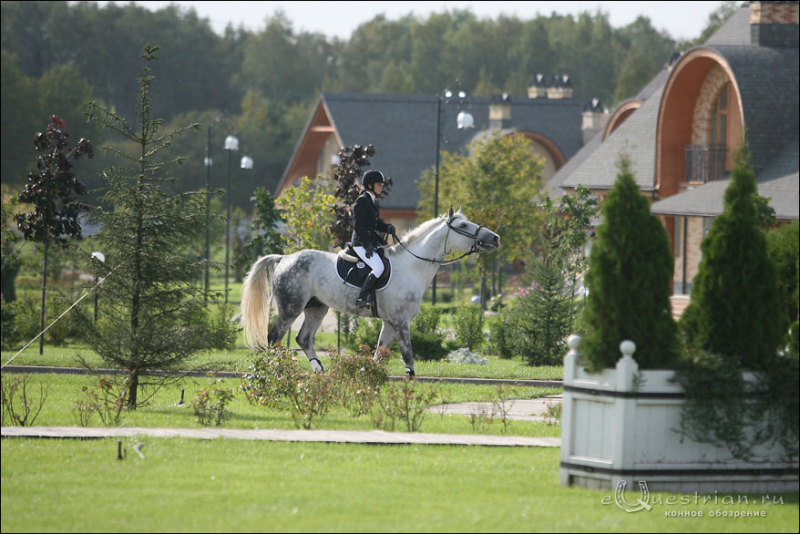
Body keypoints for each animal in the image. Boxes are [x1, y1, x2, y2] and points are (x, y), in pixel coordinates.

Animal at [239, 207, 500, 378]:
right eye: (463, 226)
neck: (412, 266)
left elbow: (380, 352)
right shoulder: (401, 321)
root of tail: (285, 258)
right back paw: (277, 371)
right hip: (290, 308)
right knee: (274, 338)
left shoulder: (390, 322)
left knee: (303, 338)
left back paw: (319, 369)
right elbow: (408, 354)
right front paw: (409, 380)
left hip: (317, 307)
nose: (495, 238)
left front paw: (371, 376)